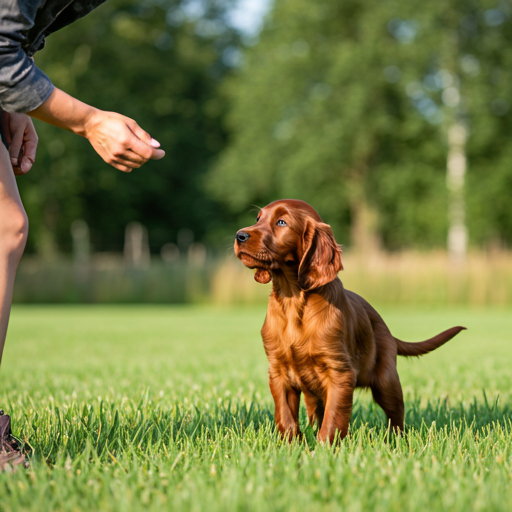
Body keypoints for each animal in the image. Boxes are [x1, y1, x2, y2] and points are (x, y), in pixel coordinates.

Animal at [234, 200, 466, 444]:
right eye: (258, 218)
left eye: (281, 222)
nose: (240, 235)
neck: (293, 297)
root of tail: (386, 329)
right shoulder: (278, 371)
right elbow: (285, 414)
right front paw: (291, 444)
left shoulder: (340, 372)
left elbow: (334, 415)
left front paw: (324, 446)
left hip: (386, 380)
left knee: (396, 414)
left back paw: (395, 440)